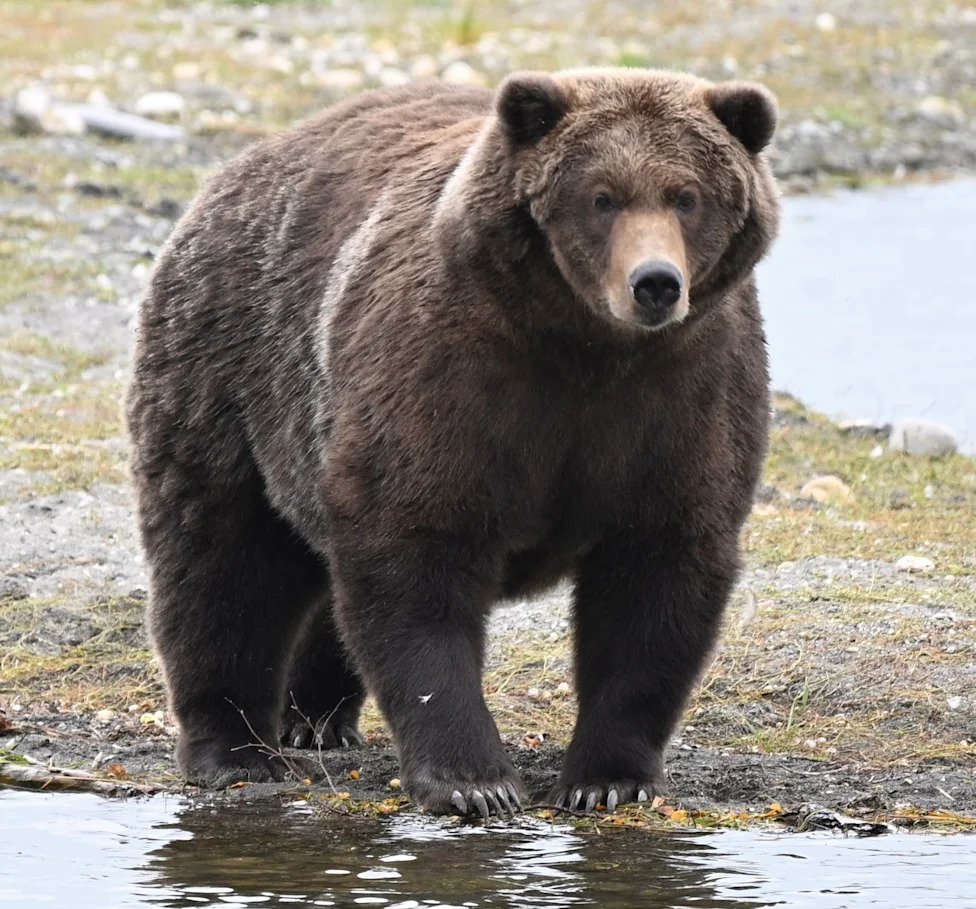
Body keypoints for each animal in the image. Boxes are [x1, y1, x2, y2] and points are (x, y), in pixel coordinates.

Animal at [126, 68, 779, 816]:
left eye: (687, 196)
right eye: (602, 196)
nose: (655, 283)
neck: (586, 347)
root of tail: (235, 170)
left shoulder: (683, 396)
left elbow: (657, 577)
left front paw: (607, 779)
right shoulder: (451, 374)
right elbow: (417, 556)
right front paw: (476, 781)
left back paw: (315, 717)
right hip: (232, 372)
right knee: (221, 560)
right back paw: (233, 749)